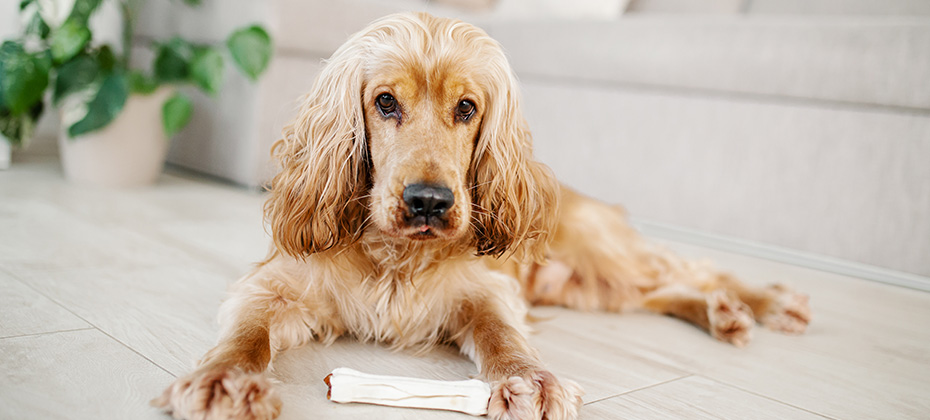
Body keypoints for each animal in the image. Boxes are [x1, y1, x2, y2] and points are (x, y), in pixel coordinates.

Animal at [152, 11, 804, 418]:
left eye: (467, 108)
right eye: (385, 102)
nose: (429, 202)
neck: (397, 257)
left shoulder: (487, 291)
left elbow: (501, 335)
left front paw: (528, 381)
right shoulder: (274, 286)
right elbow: (246, 336)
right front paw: (225, 381)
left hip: (601, 252)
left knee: (693, 270)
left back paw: (761, 302)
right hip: (591, 288)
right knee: (665, 290)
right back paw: (723, 314)